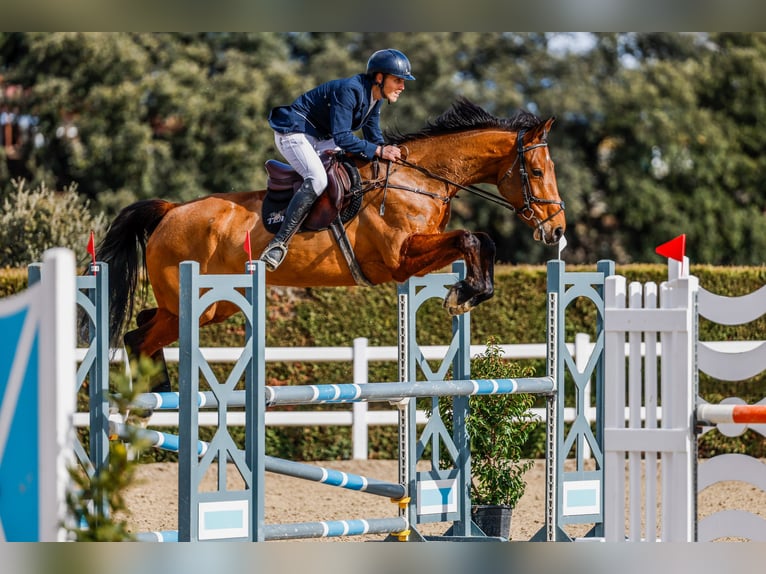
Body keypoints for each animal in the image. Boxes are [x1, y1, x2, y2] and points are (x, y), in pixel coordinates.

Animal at [97, 98, 565, 391]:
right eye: (537, 172)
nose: (557, 230)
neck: (420, 179)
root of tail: (171, 210)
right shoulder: (399, 259)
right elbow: (472, 236)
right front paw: (462, 295)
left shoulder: (416, 257)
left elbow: (480, 241)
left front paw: (468, 292)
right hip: (199, 305)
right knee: (139, 337)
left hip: (215, 305)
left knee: (143, 326)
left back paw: (156, 392)